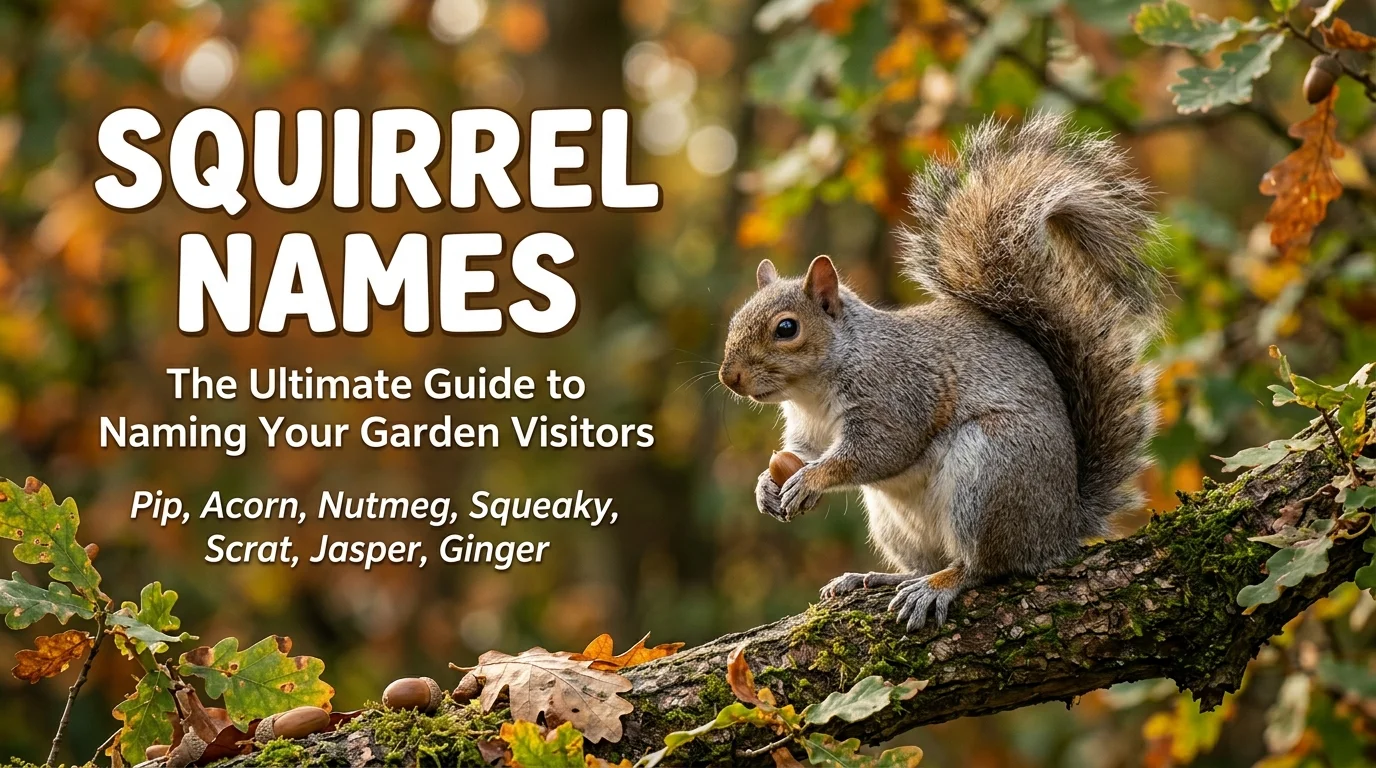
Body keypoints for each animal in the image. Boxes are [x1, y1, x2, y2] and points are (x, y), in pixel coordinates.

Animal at [718, 113, 1162, 631]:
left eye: (786, 328)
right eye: (736, 317)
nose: (730, 377)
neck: (815, 387)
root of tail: (1060, 528)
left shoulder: (895, 393)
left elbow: (877, 452)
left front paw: (809, 480)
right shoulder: (808, 428)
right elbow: (801, 451)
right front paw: (766, 486)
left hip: (991, 473)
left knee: (985, 566)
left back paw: (939, 586)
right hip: (895, 522)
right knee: (926, 561)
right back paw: (877, 578)